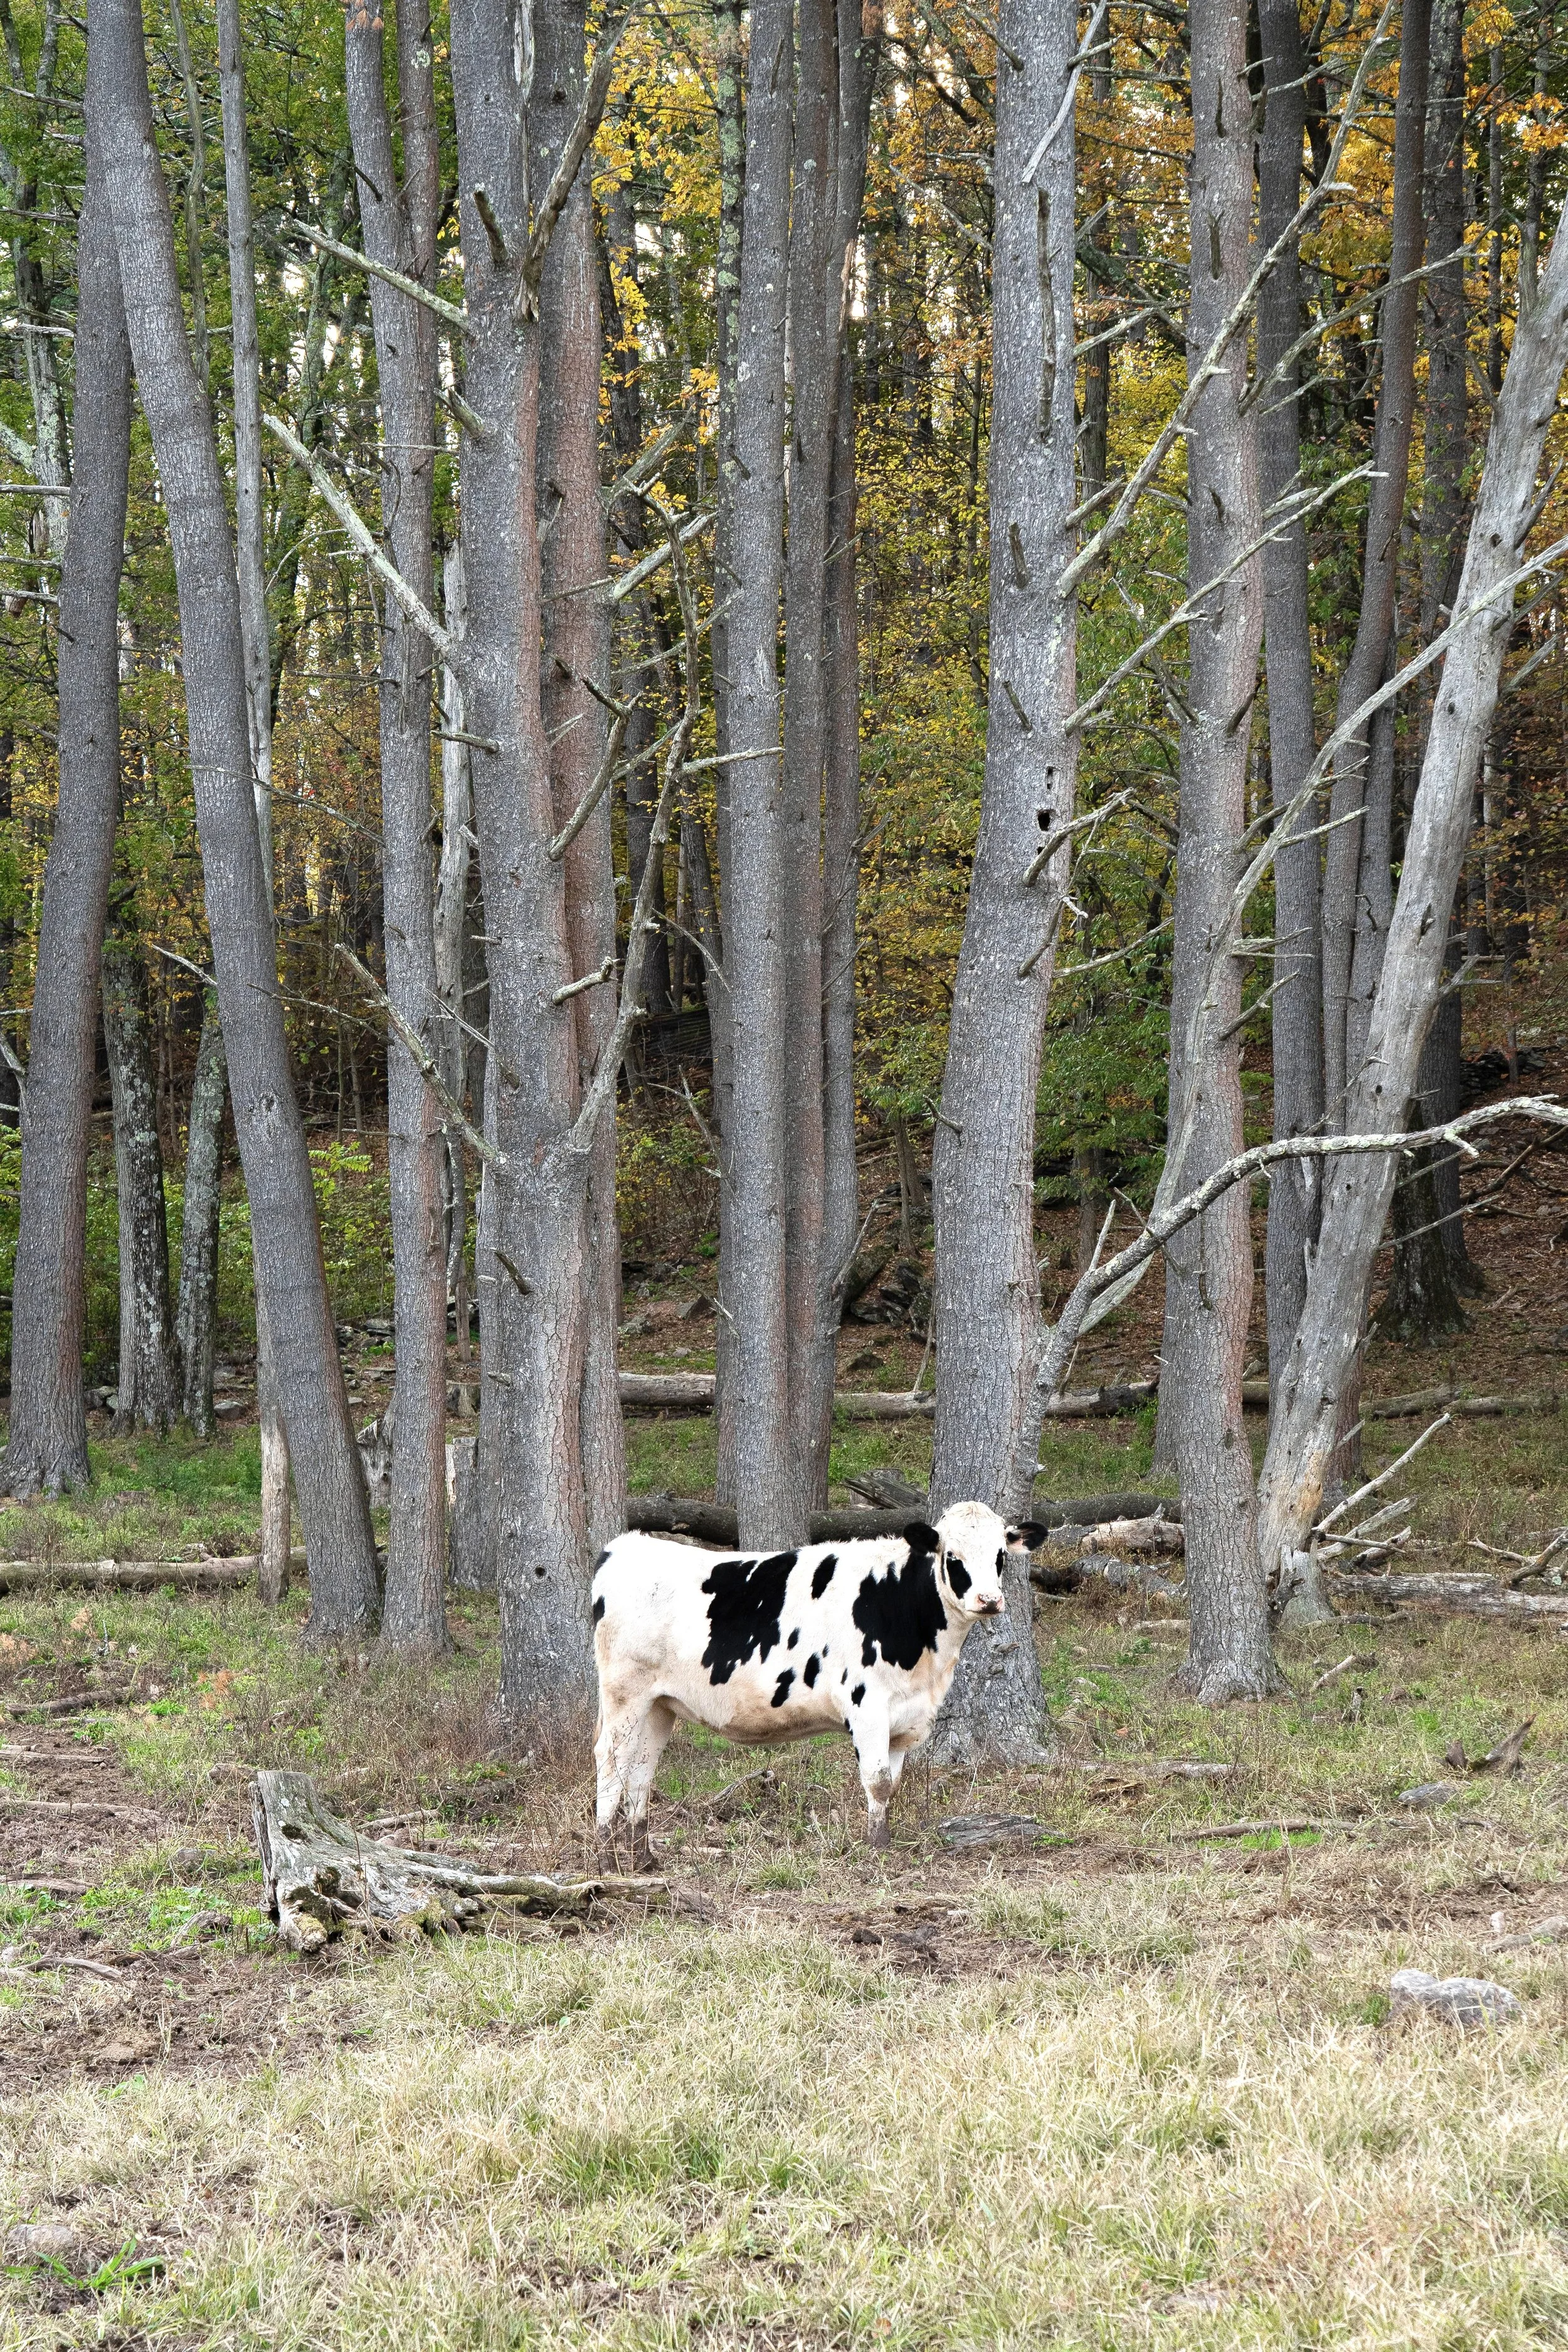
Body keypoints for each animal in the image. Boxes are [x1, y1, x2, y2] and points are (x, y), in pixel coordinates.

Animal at [591, 1502, 1047, 1863]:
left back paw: (643, 1857)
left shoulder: (907, 1717)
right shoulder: (867, 1705)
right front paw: (877, 1850)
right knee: (611, 1758)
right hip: (625, 1693)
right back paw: (605, 1857)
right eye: (952, 1555)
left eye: (1001, 1554)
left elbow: (893, 1782)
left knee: (642, 1768)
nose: (989, 1600)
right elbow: (878, 1779)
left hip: (659, 1703)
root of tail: (627, 1545)